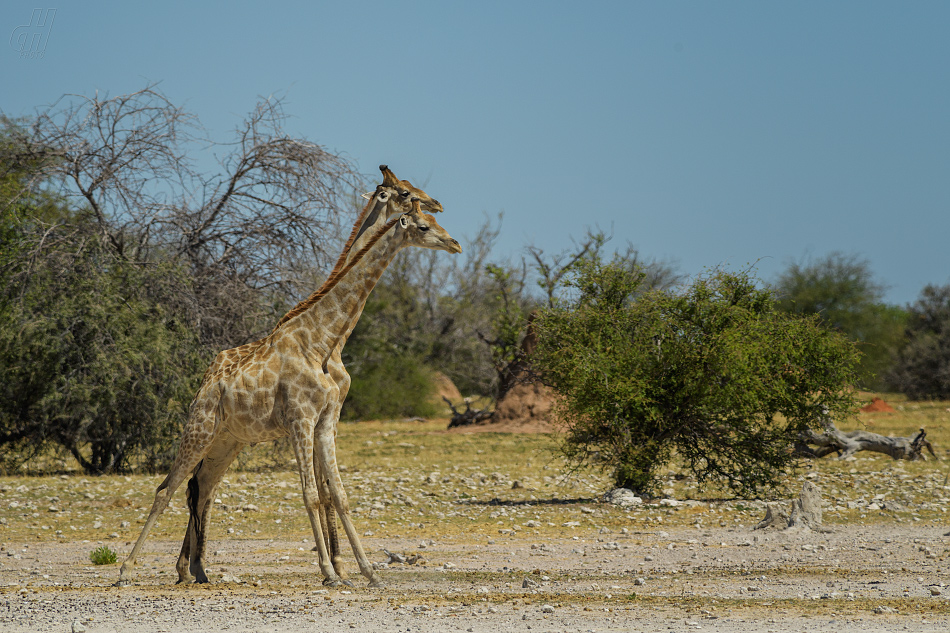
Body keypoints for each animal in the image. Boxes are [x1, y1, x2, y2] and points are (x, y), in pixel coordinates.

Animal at [118, 198, 462, 588]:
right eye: (422, 225)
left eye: (433, 218)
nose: (454, 244)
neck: (322, 341)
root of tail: (205, 384)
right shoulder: (301, 419)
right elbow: (311, 495)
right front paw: (330, 572)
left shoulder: (326, 422)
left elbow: (338, 494)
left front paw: (368, 572)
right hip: (199, 429)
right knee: (166, 490)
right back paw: (126, 571)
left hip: (227, 441)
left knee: (200, 488)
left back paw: (195, 571)